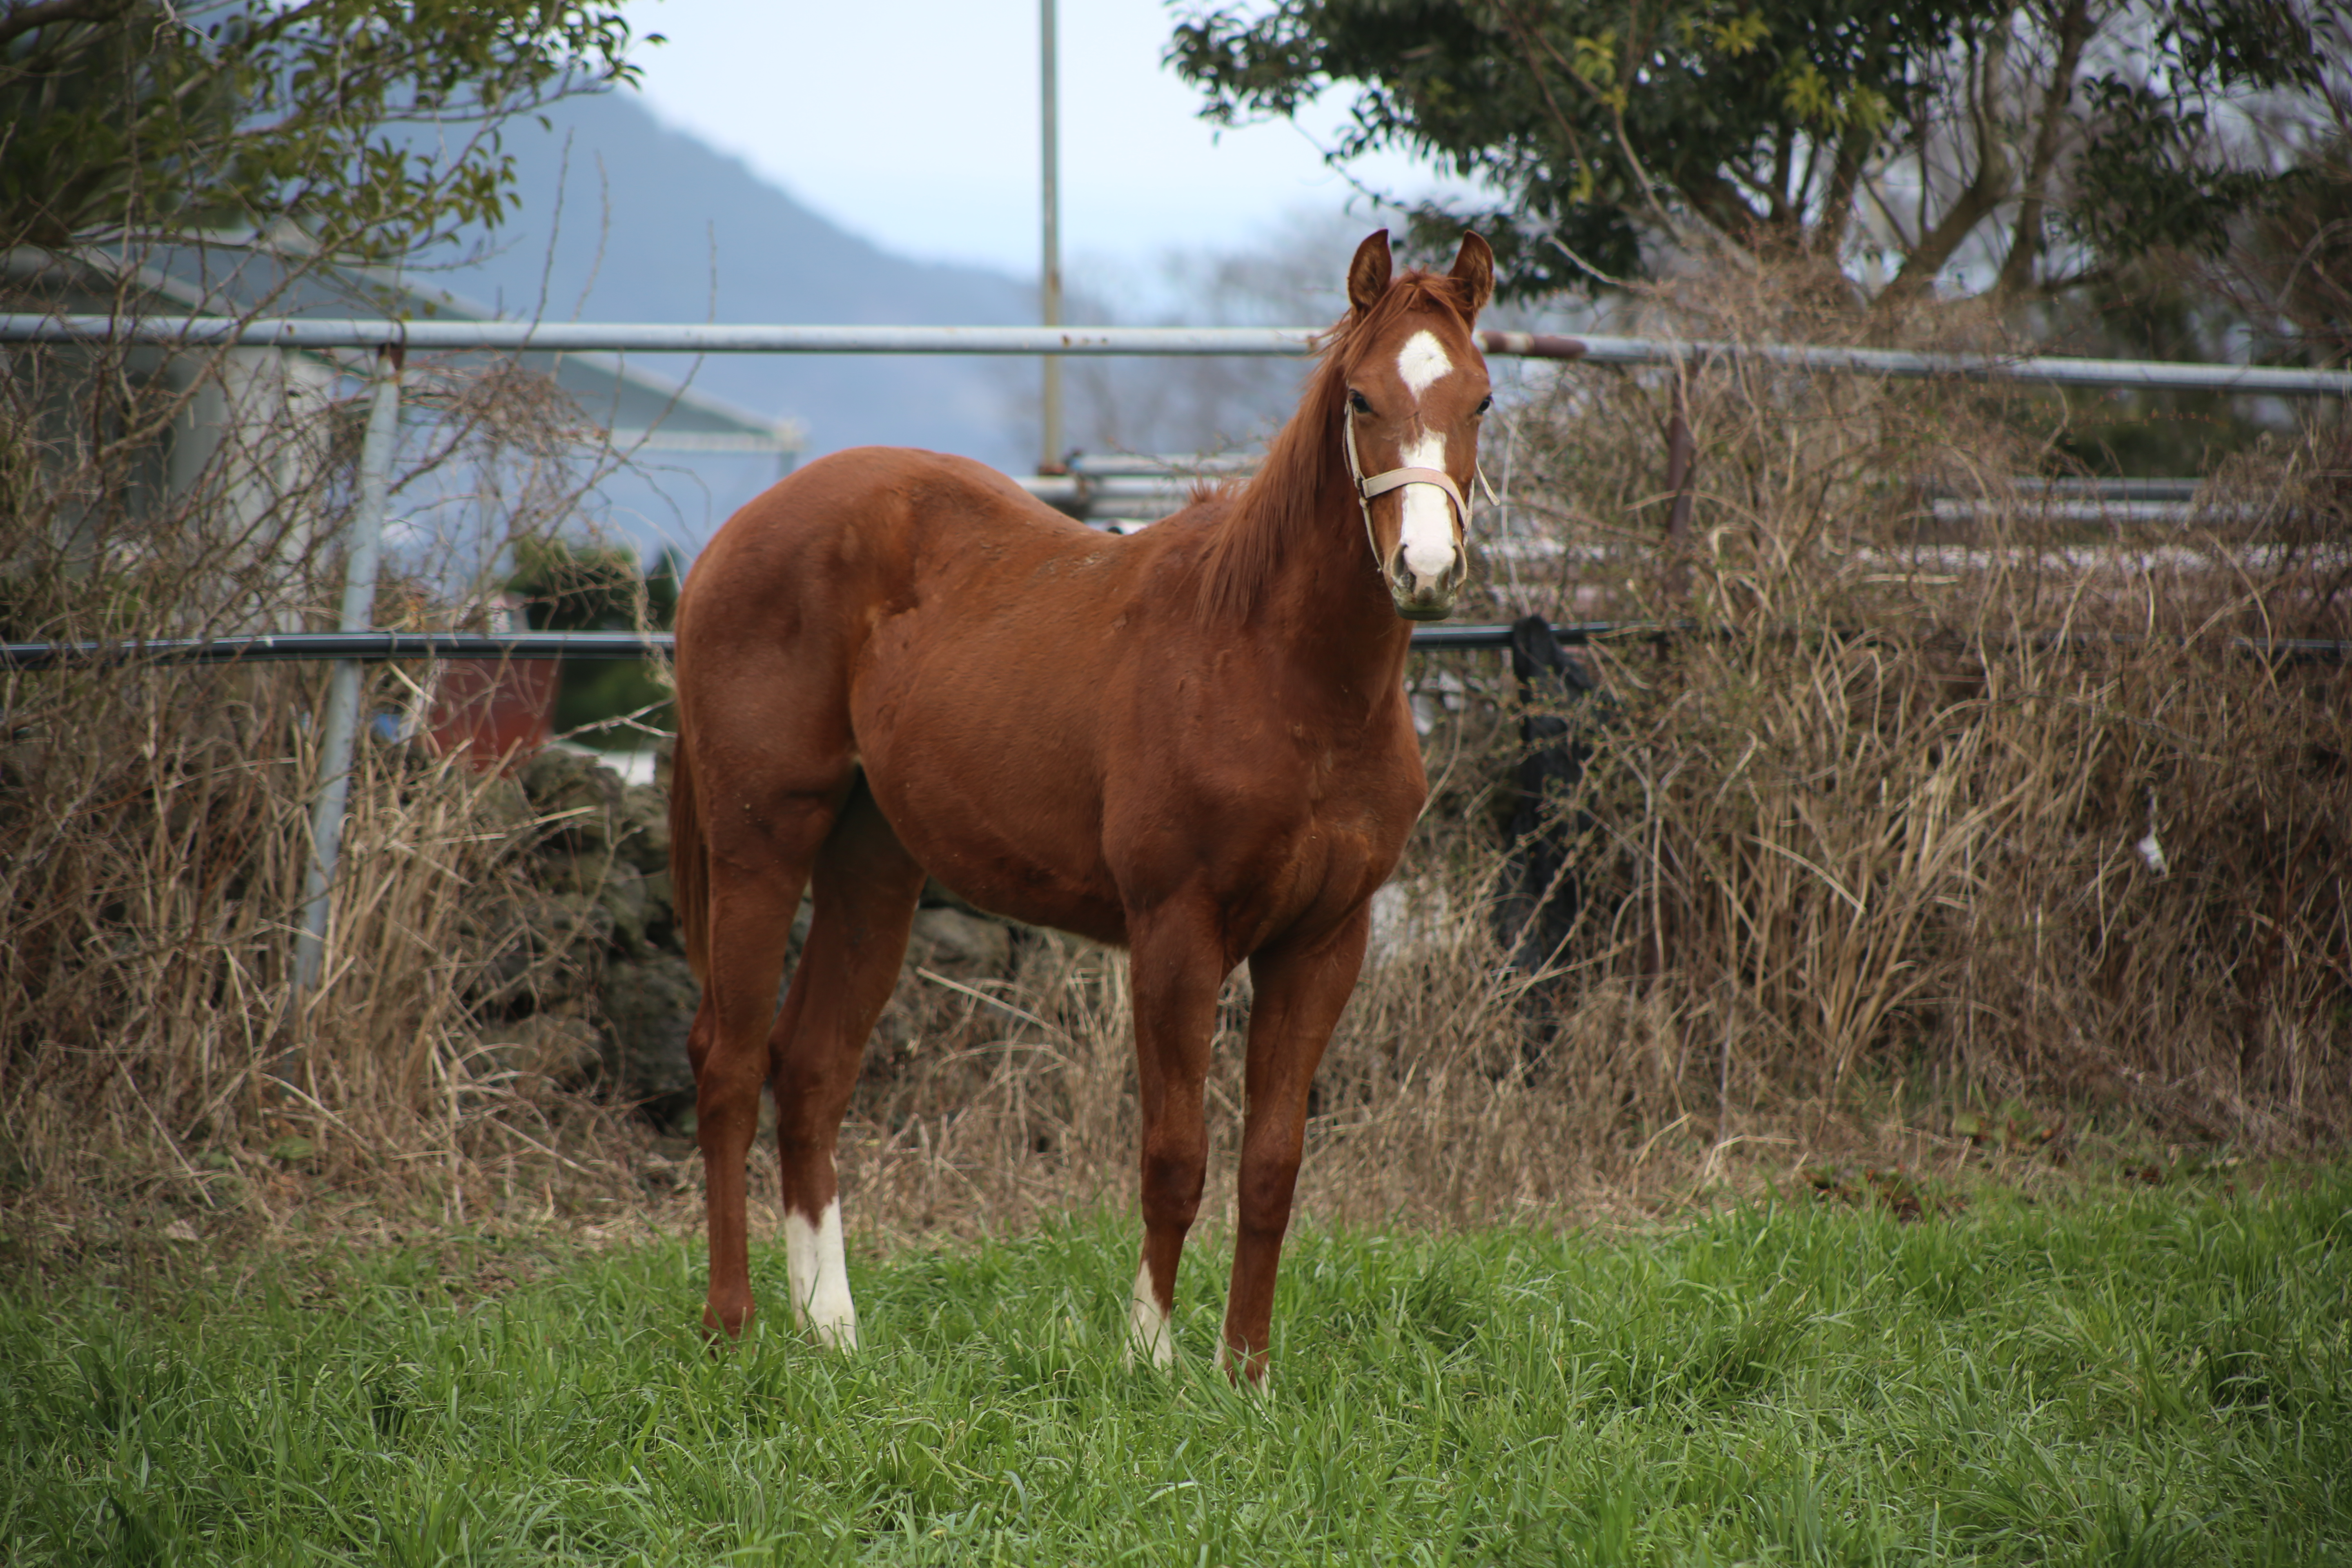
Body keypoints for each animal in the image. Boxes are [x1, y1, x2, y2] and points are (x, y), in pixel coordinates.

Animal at [673, 227, 1496, 1382]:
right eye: (1361, 397)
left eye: (1480, 399)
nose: (1424, 568)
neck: (1278, 668)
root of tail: (736, 537)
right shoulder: (1176, 934)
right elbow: (1175, 1155)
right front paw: (1149, 1358)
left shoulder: (1324, 943)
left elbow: (1271, 1164)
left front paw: (1246, 1373)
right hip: (761, 844)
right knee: (731, 1063)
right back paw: (731, 1325)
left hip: (871, 867)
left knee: (813, 1070)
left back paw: (830, 1329)